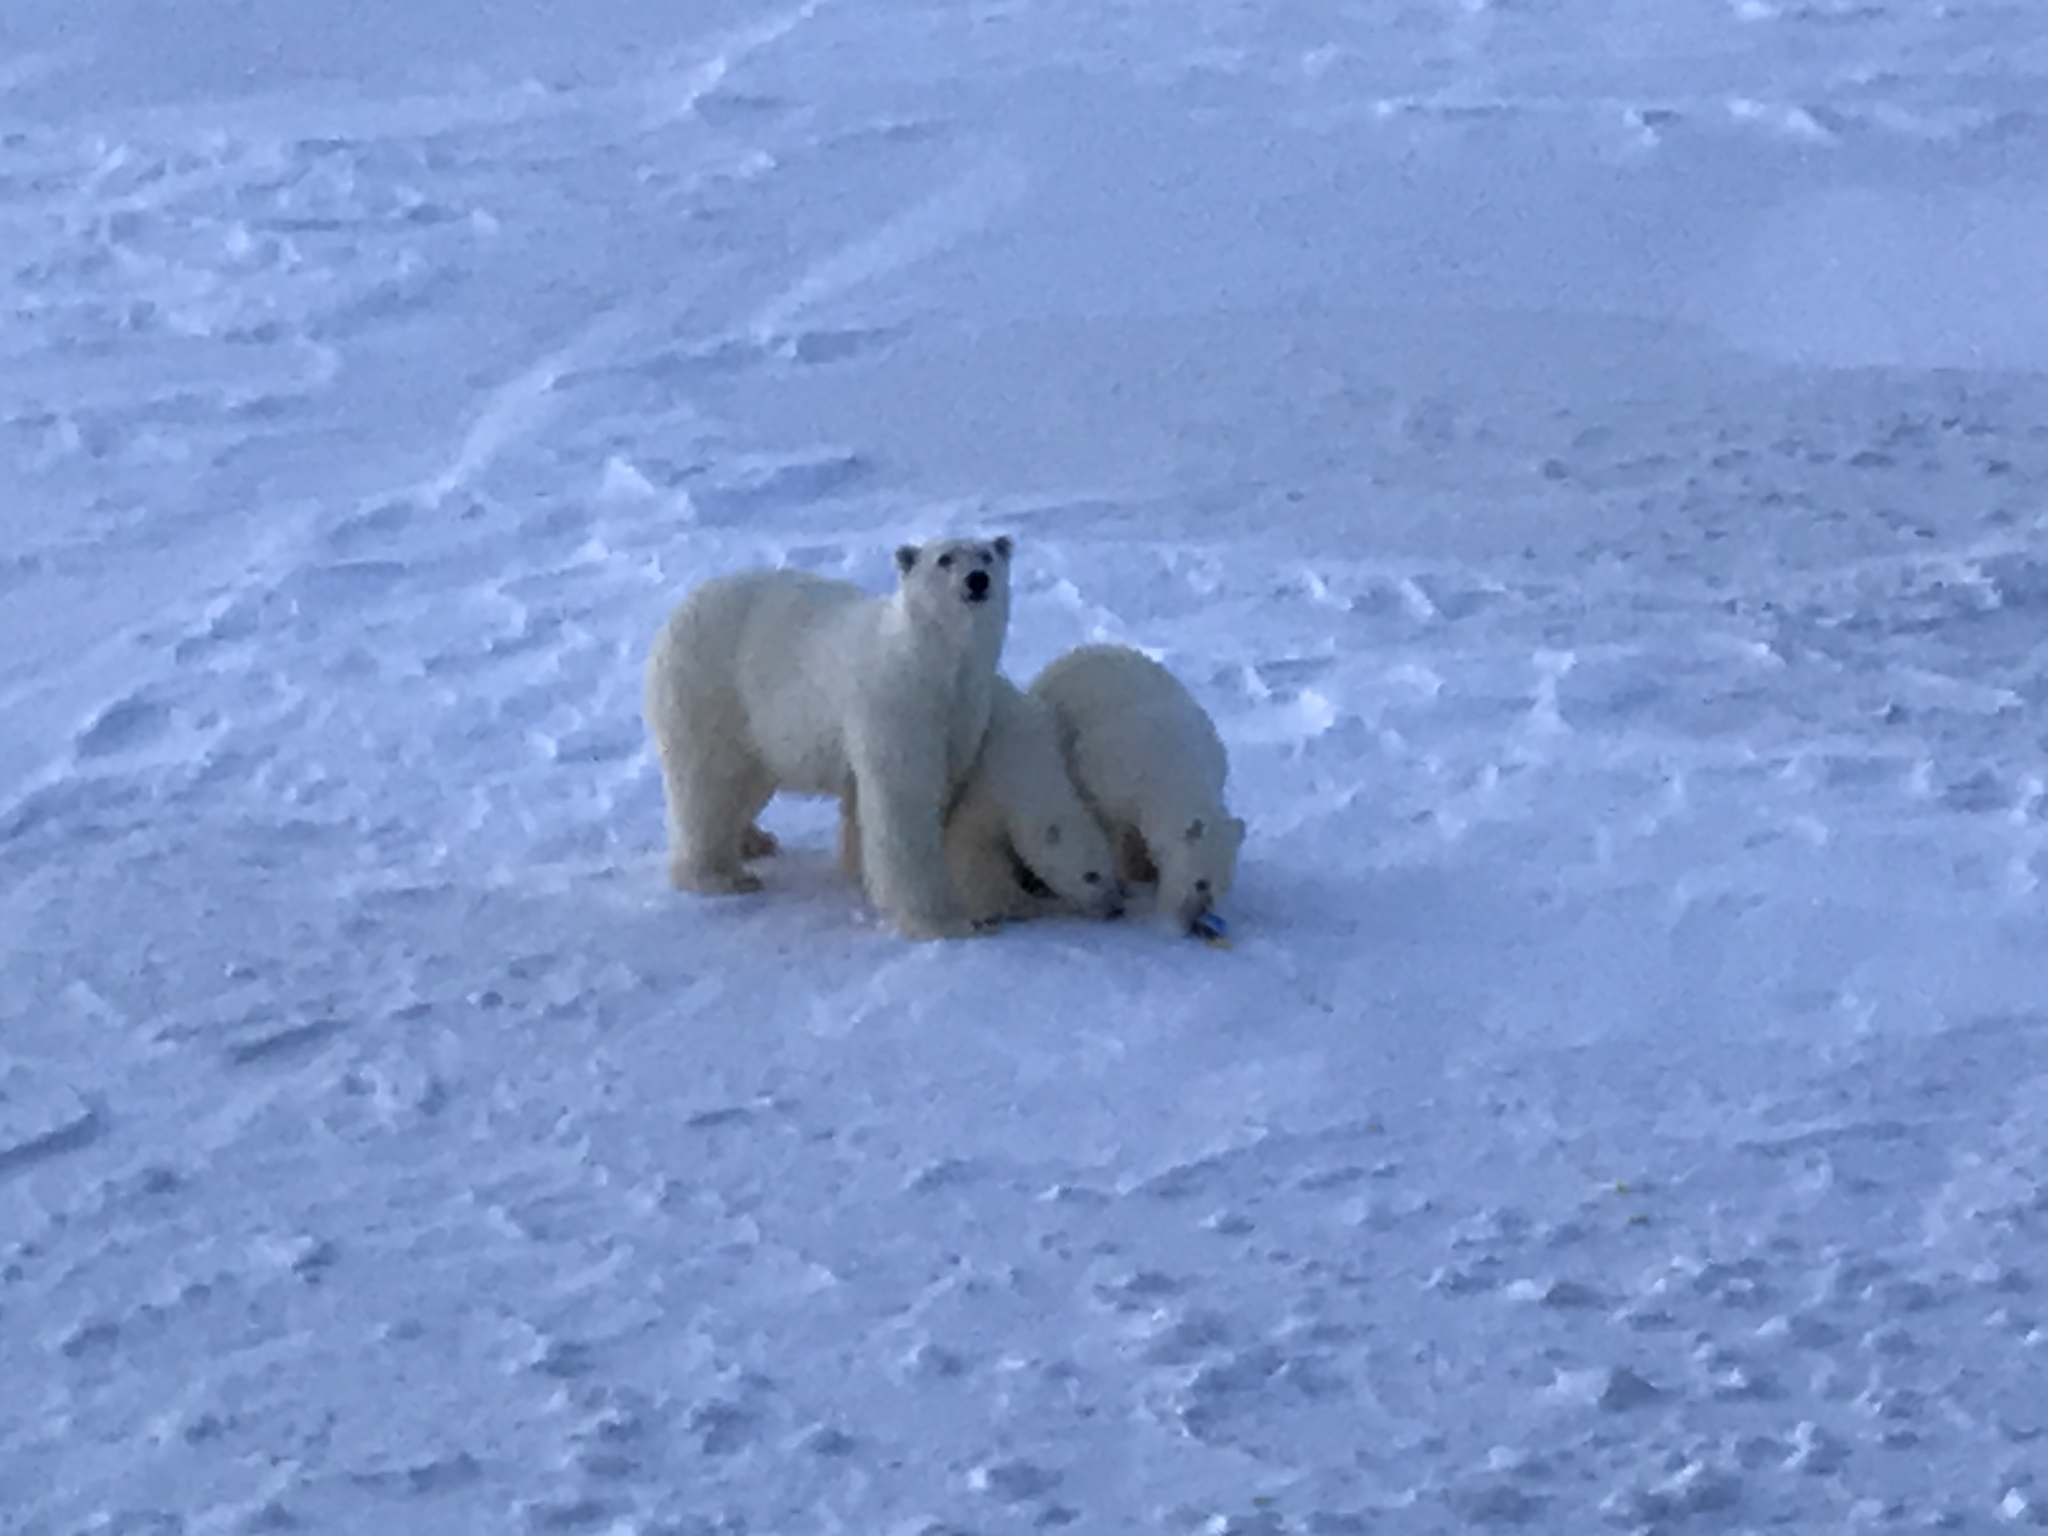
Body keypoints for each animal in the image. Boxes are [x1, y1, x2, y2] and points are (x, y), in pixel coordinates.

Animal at [643, 540, 1011, 950]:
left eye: (987, 555)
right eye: (944, 559)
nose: (977, 580)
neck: (929, 666)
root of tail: (676, 614)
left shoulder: (964, 716)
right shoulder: (897, 705)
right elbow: (904, 803)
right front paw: (943, 921)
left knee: (746, 780)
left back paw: (754, 841)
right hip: (710, 691)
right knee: (707, 784)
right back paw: (722, 876)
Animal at [835, 675, 1122, 925]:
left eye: (1109, 871)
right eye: (1090, 876)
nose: (1114, 908)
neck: (1026, 756)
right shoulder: (986, 785)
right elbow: (974, 857)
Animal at [1024, 638, 1245, 933]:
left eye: (1222, 887)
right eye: (1201, 882)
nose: (1193, 923)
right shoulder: (1110, 780)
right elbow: (1115, 831)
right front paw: (1130, 878)